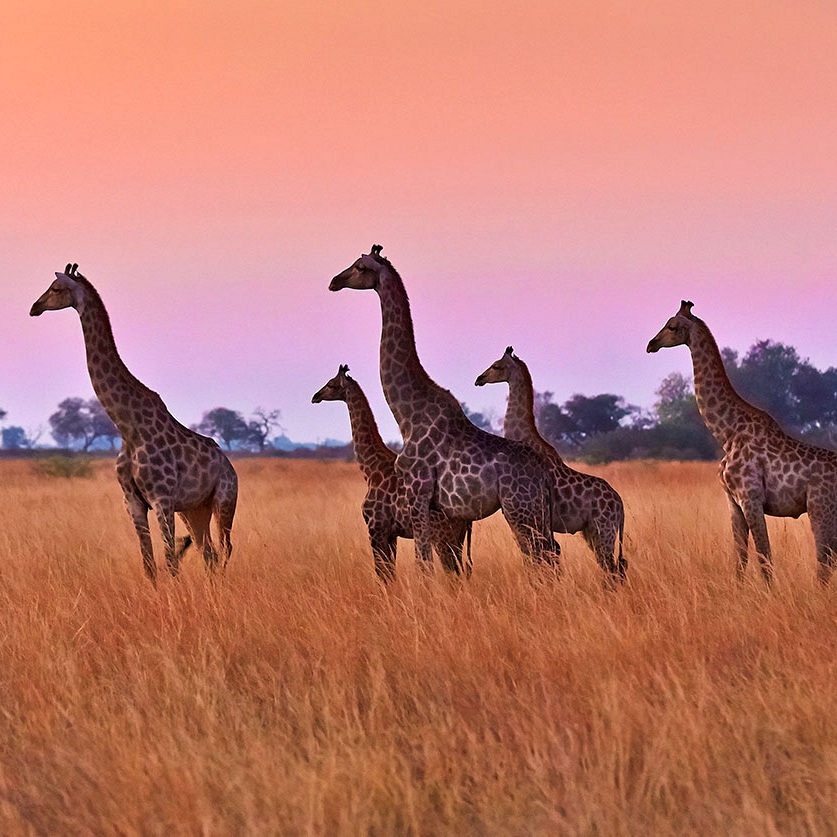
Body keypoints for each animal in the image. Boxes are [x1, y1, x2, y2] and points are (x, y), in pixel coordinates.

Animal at [30, 262, 238, 580]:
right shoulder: (134, 503)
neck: (129, 428)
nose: (35, 307)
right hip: (194, 509)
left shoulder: (162, 500)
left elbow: (170, 562)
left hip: (223, 501)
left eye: (55, 288)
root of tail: (228, 465)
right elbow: (149, 565)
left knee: (224, 549)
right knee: (210, 553)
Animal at [312, 362, 474, 584]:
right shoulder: (391, 534)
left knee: (454, 574)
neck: (370, 468)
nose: (315, 396)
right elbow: (389, 573)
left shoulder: (376, 529)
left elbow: (382, 574)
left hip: (443, 538)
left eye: (330, 384)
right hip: (457, 538)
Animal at [328, 243, 560, 568]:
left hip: (520, 507)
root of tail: (544, 474)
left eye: (360, 267)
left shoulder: (418, 493)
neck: (408, 415)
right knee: (547, 554)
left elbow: (423, 563)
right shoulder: (432, 507)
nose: (334, 281)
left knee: (543, 555)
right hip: (530, 510)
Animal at [474, 344, 624, 580]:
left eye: (497, 366)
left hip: (604, 531)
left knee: (612, 571)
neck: (523, 437)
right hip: (592, 532)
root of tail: (620, 505)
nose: (479, 379)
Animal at [648, 298, 837, 580]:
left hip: (820, 509)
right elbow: (740, 560)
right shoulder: (733, 502)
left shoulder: (751, 498)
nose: (651, 344)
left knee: (824, 561)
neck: (726, 432)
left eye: (671, 326)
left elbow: (764, 558)